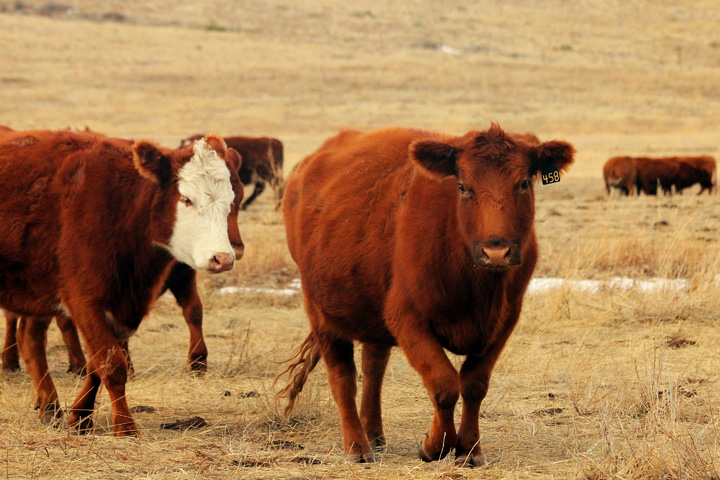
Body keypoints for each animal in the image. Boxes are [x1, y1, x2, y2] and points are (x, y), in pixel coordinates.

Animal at [0, 129, 243, 435]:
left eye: (232, 200)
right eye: (186, 199)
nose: (223, 258)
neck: (122, 209)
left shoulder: (120, 304)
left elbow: (99, 363)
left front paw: (80, 416)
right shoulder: (85, 302)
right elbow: (112, 364)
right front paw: (124, 425)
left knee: (30, 339)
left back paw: (50, 406)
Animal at [277, 124, 575, 466]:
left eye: (524, 183)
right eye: (463, 186)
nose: (496, 251)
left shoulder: (506, 320)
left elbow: (474, 385)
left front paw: (470, 449)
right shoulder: (408, 319)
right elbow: (444, 384)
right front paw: (435, 445)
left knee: (373, 369)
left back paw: (374, 434)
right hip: (320, 311)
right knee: (343, 378)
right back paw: (358, 447)